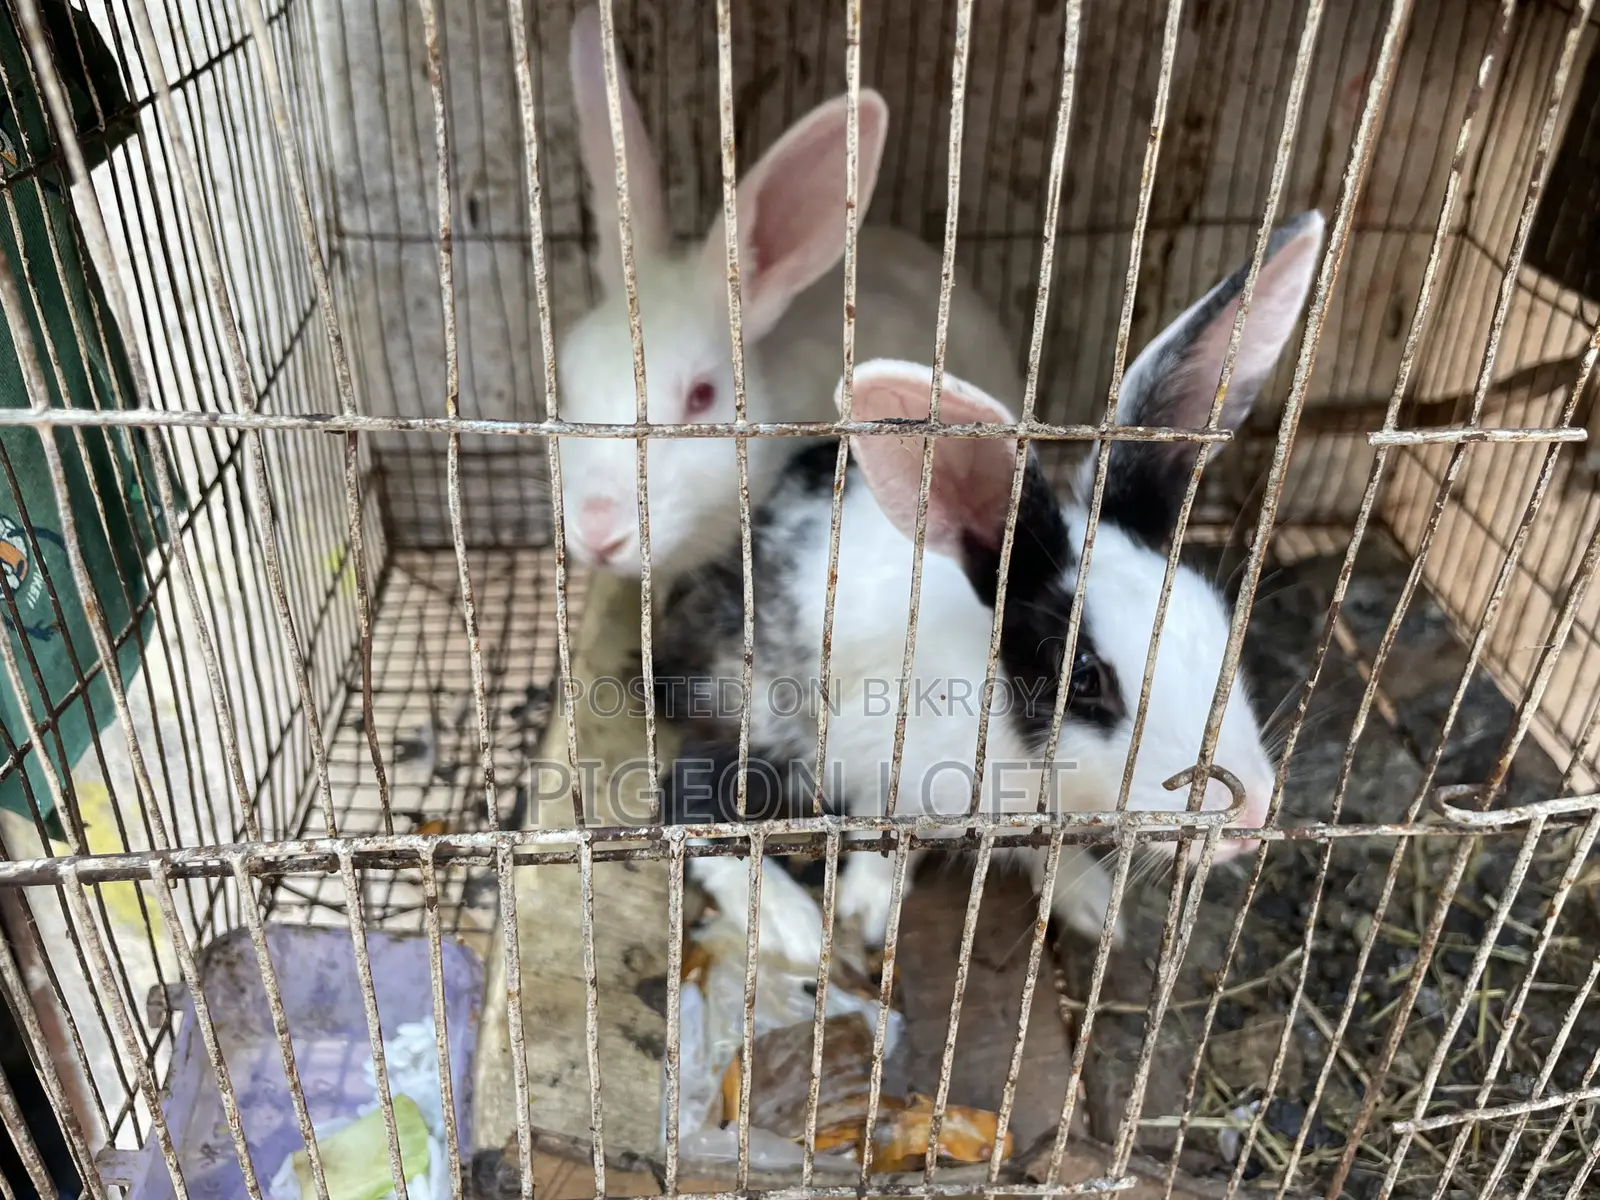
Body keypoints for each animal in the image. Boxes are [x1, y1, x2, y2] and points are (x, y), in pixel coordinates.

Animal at [653, 211, 1326, 952]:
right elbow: (878, 839)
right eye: (1083, 677)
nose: (1250, 814)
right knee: (690, 806)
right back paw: (789, 924)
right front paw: (866, 908)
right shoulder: (883, 760)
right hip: (758, 711)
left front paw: (1091, 903)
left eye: (1222, 623)